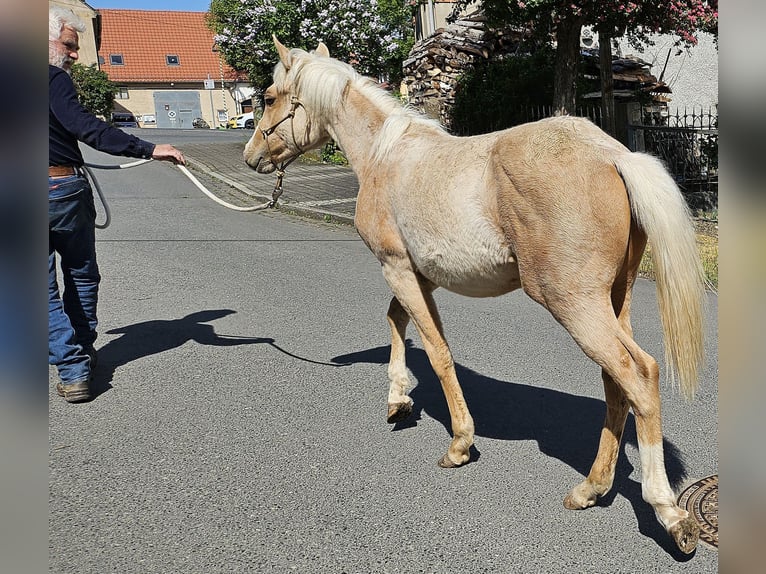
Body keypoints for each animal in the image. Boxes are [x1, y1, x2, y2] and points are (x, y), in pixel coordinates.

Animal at [243, 37, 707, 554]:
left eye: (268, 97)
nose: (251, 156)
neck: (387, 156)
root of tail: (614, 156)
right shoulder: (418, 276)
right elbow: (396, 321)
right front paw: (398, 400)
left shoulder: (397, 268)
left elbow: (436, 350)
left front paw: (459, 444)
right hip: (613, 301)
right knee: (616, 383)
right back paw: (591, 489)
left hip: (576, 305)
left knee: (640, 376)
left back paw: (667, 512)